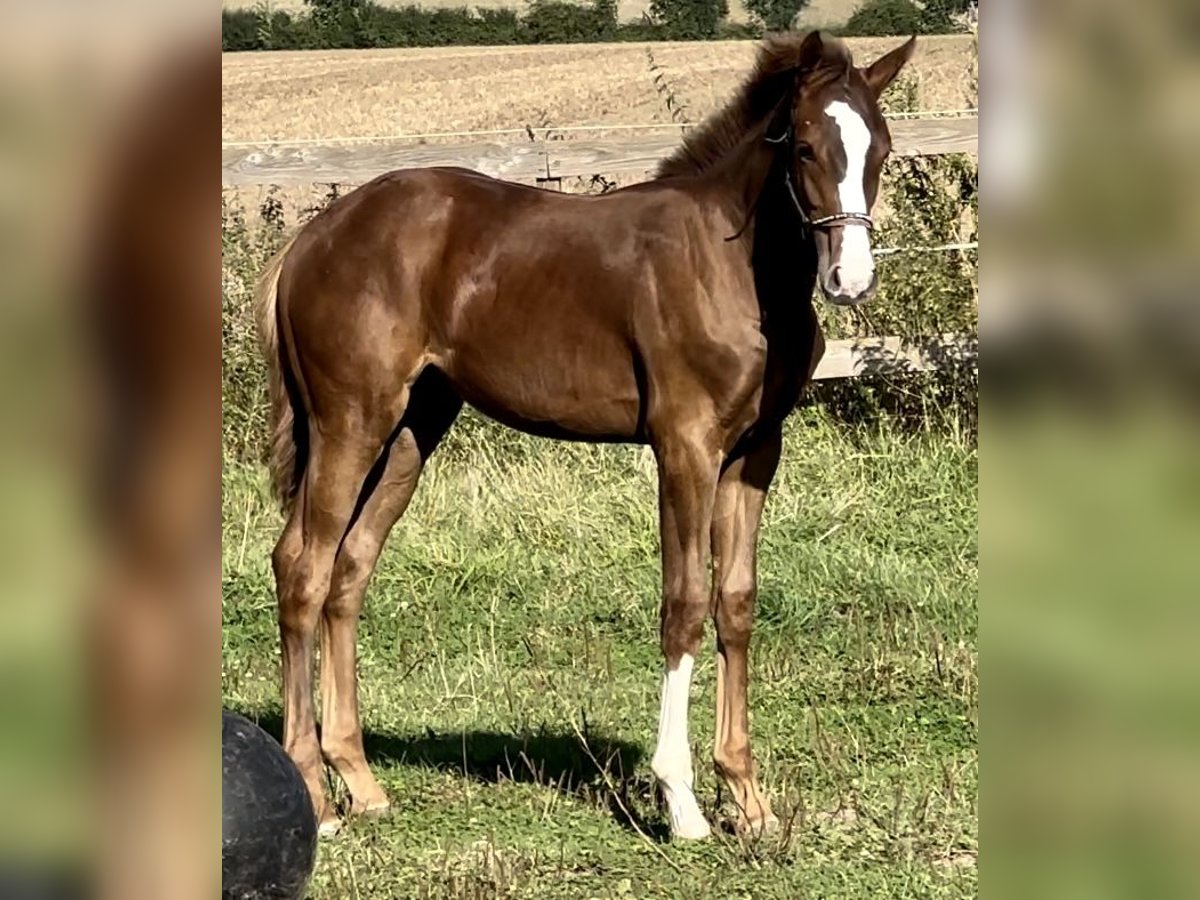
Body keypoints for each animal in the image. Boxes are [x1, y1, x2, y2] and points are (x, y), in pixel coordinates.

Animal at [253, 30, 907, 844]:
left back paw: (361, 783)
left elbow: (737, 603)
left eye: (881, 148)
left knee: (350, 571)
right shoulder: (686, 445)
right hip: (351, 420)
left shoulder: (755, 452)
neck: (732, 265)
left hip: (411, 430)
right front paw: (682, 802)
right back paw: (312, 794)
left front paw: (748, 800)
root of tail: (310, 238)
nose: (850, 279)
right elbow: (685, 603)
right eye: (809, 147)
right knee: (302, 567)